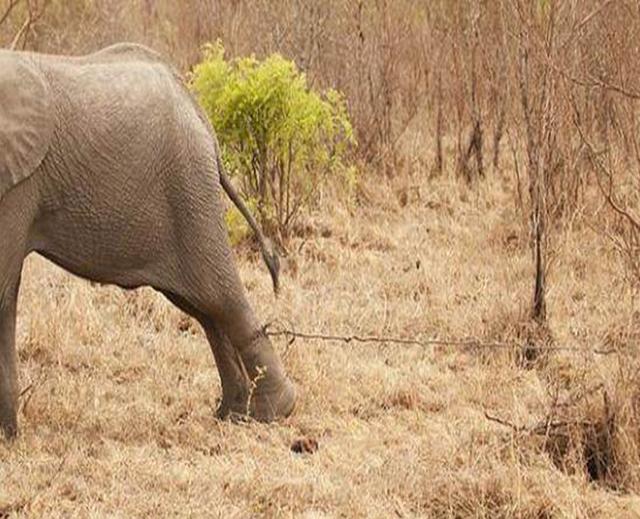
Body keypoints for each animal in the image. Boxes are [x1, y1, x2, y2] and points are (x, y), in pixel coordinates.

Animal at [0, 42, 298, 438]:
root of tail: (201, 115)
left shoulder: (17, 183)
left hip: (189, 190)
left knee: (219, 298)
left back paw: (270, 412)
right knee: (203, 309)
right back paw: (233, 412)